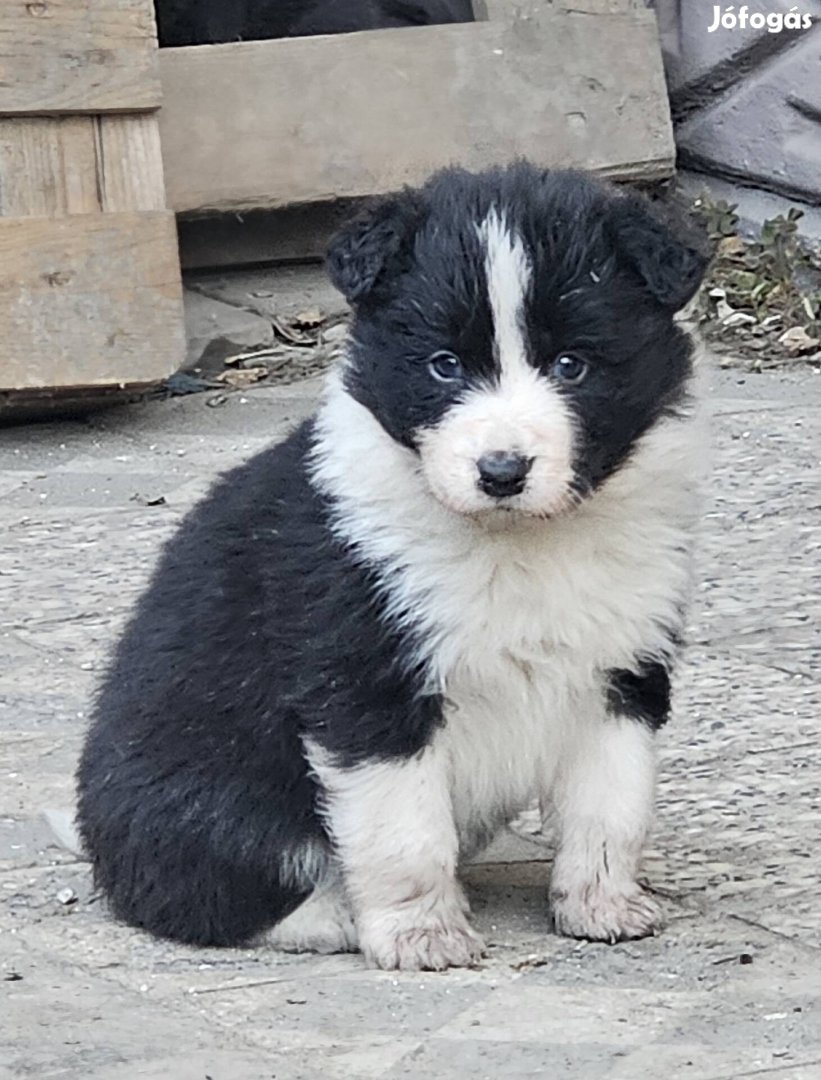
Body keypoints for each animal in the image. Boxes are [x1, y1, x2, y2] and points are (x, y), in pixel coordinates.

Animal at [75, 164, 704, 976]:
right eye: (443, 364)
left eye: (572, 364)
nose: (501, 471)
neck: (515, 544)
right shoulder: (367, 685)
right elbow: (406, 832)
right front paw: (421, 935)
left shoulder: (622, 670)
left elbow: (611, 805)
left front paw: (602, 905)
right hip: (210, 797)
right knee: (202, 892)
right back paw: (334, 915)